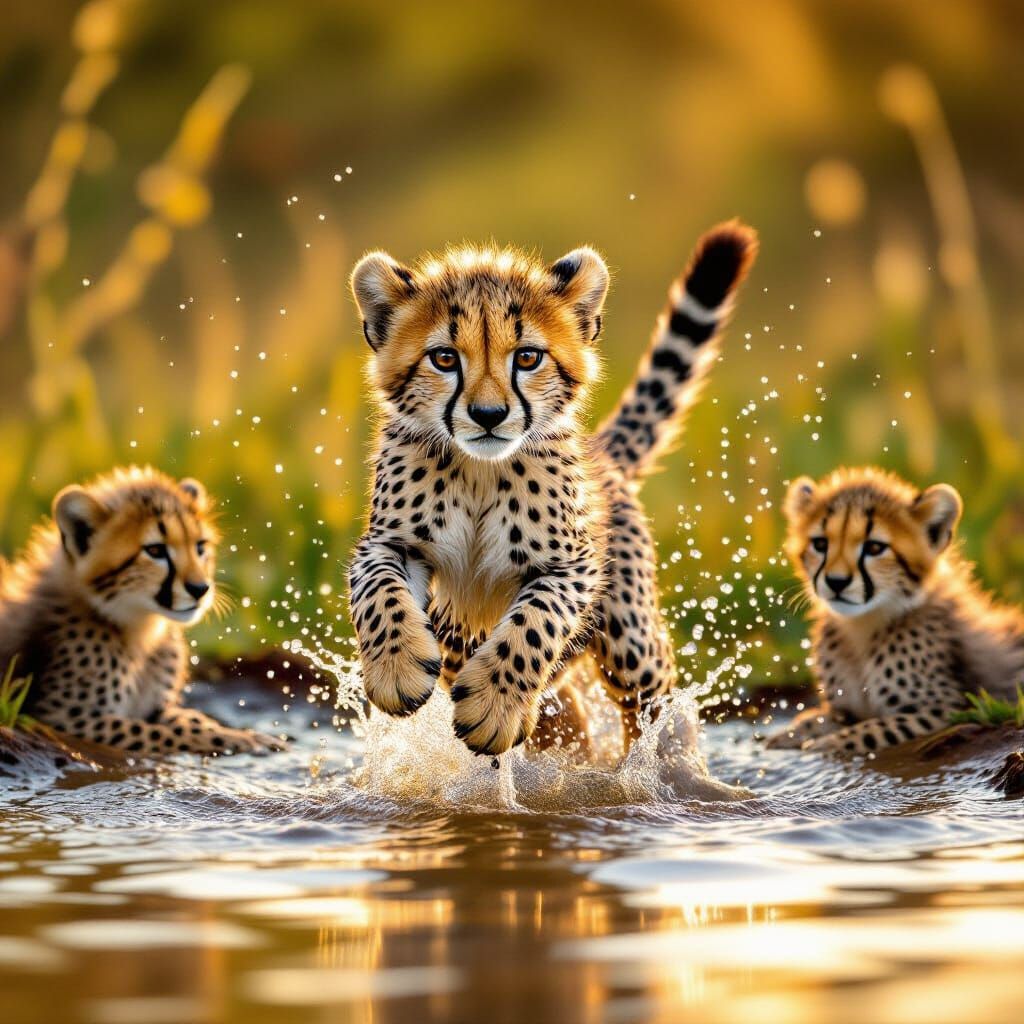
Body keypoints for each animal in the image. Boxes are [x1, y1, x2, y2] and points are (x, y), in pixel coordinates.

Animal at [0, 466, 282, 755]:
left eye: (200, 546)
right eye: (155, 550)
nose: (200, 588)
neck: (140, 628)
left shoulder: (155, 709)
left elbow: (187, 720)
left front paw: (235, 731)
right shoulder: (63, 719)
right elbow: (160, 733)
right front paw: (246, 740)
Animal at [347, 221, 758, 756]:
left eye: (527, 357)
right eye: (444, 358)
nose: (488, 415)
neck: (480, 473)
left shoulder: (572, 566)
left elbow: (535, 622)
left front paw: (492, 704)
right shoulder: (390, 542)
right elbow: (378, 590)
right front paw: (397, 670)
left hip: (632, 641)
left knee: (657, 707)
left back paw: (667, 766)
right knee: (568, 720)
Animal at [768, 466, 1024, 754]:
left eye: (874, 547)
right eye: (820, 544)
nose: (836, 582)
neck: (861, 627)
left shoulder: (952, 708)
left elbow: (875, 728)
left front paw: (824, 744)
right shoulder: (844, 711)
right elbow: (821, 718)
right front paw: (788, 733)